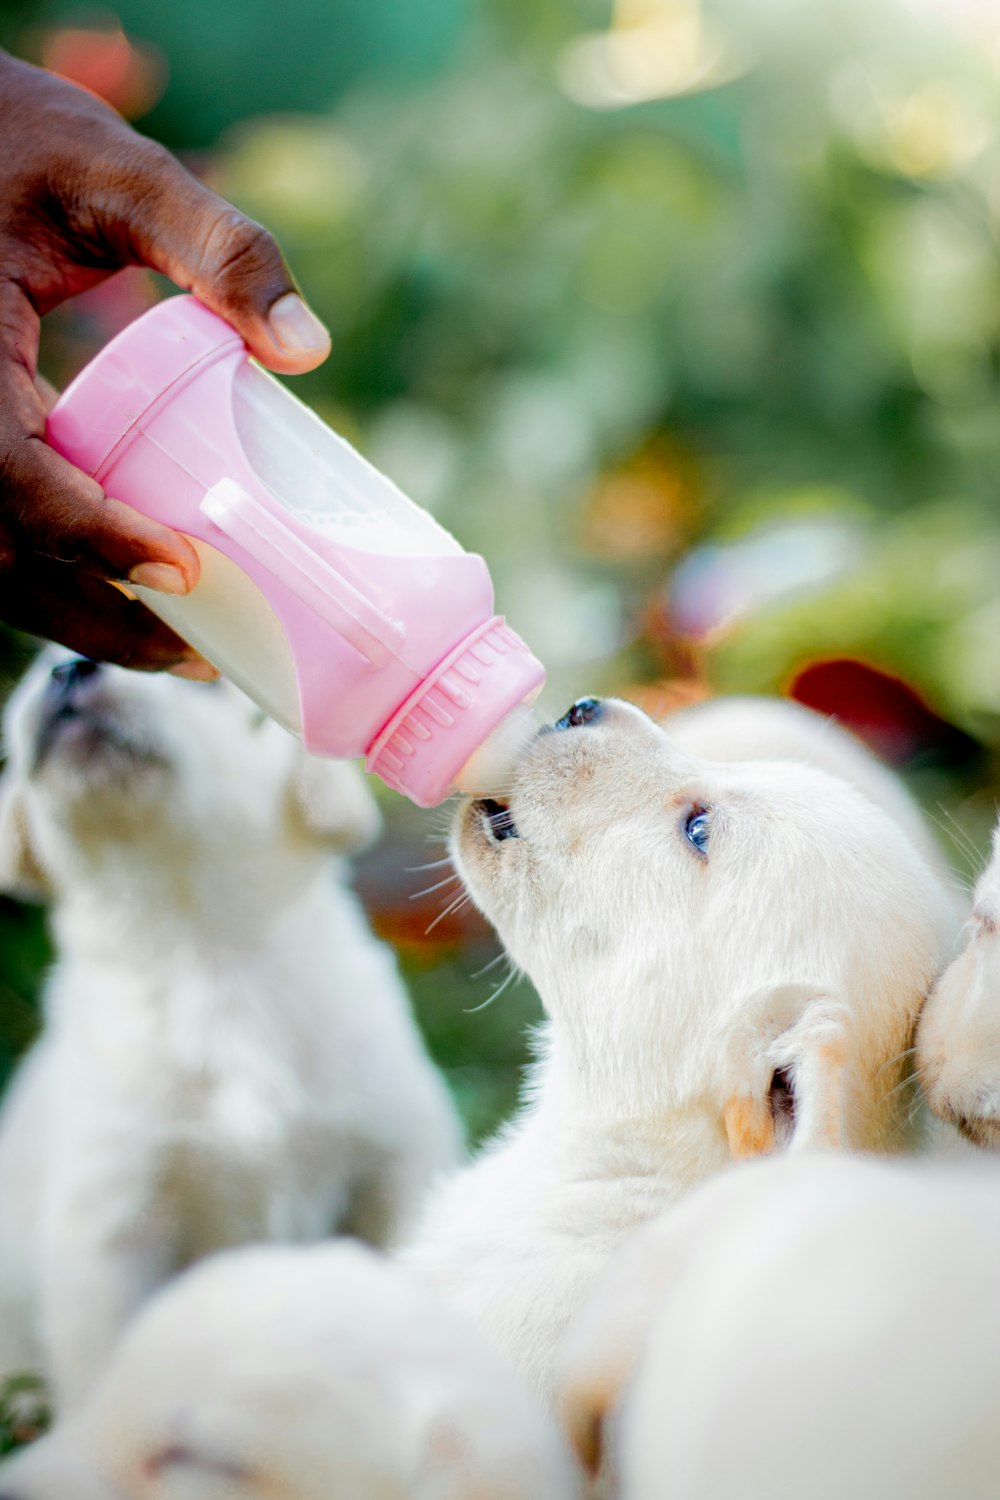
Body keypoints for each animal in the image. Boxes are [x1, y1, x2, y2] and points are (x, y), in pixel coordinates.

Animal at [0, 651, 461, 1410]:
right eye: (33, 678)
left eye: (208, 685)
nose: (67, 668)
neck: (208, 957)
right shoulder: (106, 1233)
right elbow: (102, 1370)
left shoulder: (395, 1165)